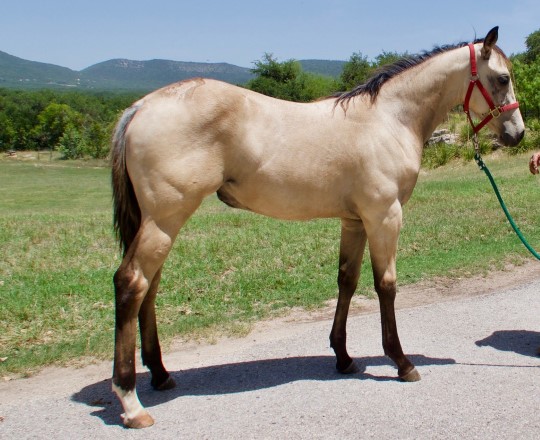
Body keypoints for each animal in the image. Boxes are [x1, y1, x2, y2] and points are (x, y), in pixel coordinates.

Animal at [108, 26, 524, 426]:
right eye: (502, 78)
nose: (517, 134)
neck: (388, 119)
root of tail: (141, 106)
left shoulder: (354, 222)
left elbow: (347, 281)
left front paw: (343, 357)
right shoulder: (384, 217)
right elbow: (386, 286)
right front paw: (402, 362)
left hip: (159, 224)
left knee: (149, 287)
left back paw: (161, 374)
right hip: (165, 221)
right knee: (131, 283)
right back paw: (131, 402)